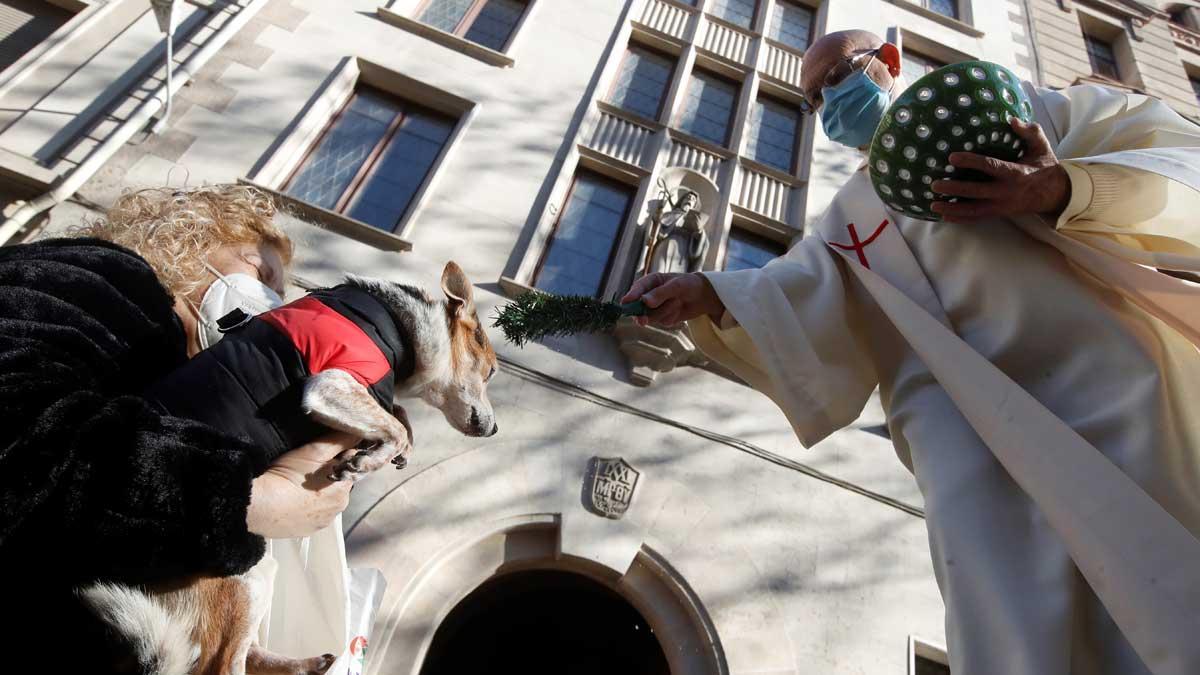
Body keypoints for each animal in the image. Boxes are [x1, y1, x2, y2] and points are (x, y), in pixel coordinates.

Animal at [79, 260, 499, 667]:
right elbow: (393, 423)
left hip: (258, 573)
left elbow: (397, 416)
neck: (397, 326)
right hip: (240, 581)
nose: (495, 429)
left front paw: (399, 444)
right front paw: (370, 458)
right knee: (221, 663)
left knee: (249, 653)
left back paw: (308, 663)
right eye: (491, 372)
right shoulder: (328, 385)